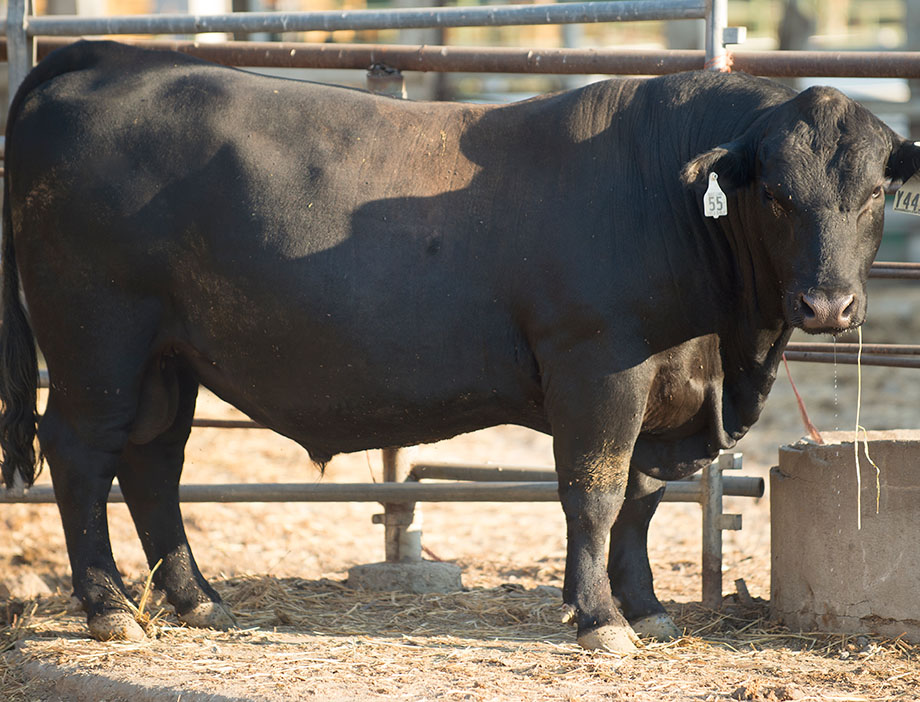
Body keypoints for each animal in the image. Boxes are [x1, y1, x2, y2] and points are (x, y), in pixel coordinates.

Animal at [2, 40, 916, 652]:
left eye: (876, 193)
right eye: (778, 196)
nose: (828, 304)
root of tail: (111, 59)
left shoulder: (667, 394)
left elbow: (642, 500)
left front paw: (646, 608)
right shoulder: (597, 368)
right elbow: (595, 494)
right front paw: (600, 622)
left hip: (166, 357)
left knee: (153, 463)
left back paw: (197, 600)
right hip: (97, 343)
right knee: (81, 455)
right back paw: (108, 611)